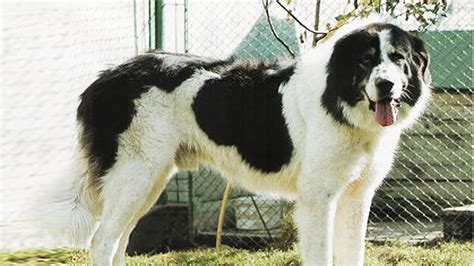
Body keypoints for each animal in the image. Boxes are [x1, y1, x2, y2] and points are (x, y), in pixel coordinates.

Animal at [70, 16, 430, 264]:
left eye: (398, 58)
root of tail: (105, 78)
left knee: (120, 242)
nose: (385, 85)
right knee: (102, 242)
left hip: (147, 182)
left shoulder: (357, 198)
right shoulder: (318, 199)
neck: (341, 98)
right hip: (135, 176)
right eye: (366, 60)